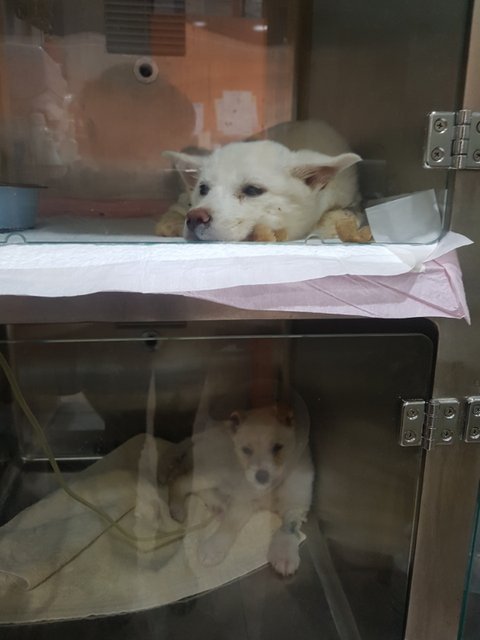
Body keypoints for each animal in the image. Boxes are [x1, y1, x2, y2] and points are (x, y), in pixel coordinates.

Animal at [165, 405, 314, 576]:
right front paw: (213, 548)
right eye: (246, 450)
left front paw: (284, 554)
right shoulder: (243, 502)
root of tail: (202, 435)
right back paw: (177, 508)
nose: (261, 477)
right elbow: (229, 526)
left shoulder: (295, 505)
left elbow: (288, 529)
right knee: (179, 481)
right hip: (214, 473)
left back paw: (218, 505)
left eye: (277, 447)